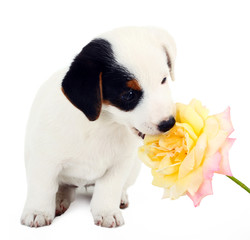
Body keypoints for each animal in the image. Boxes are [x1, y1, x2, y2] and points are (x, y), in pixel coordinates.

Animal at [20, 27, 177, 228]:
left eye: (163, 80)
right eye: (129, 94)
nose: (169, 123)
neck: (103, 125)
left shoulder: (120, 164)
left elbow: (108, 189)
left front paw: (107, 212)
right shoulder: (44, 160)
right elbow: (43, 187)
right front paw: (37, 212)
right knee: (64, 187)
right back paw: (59, 199)